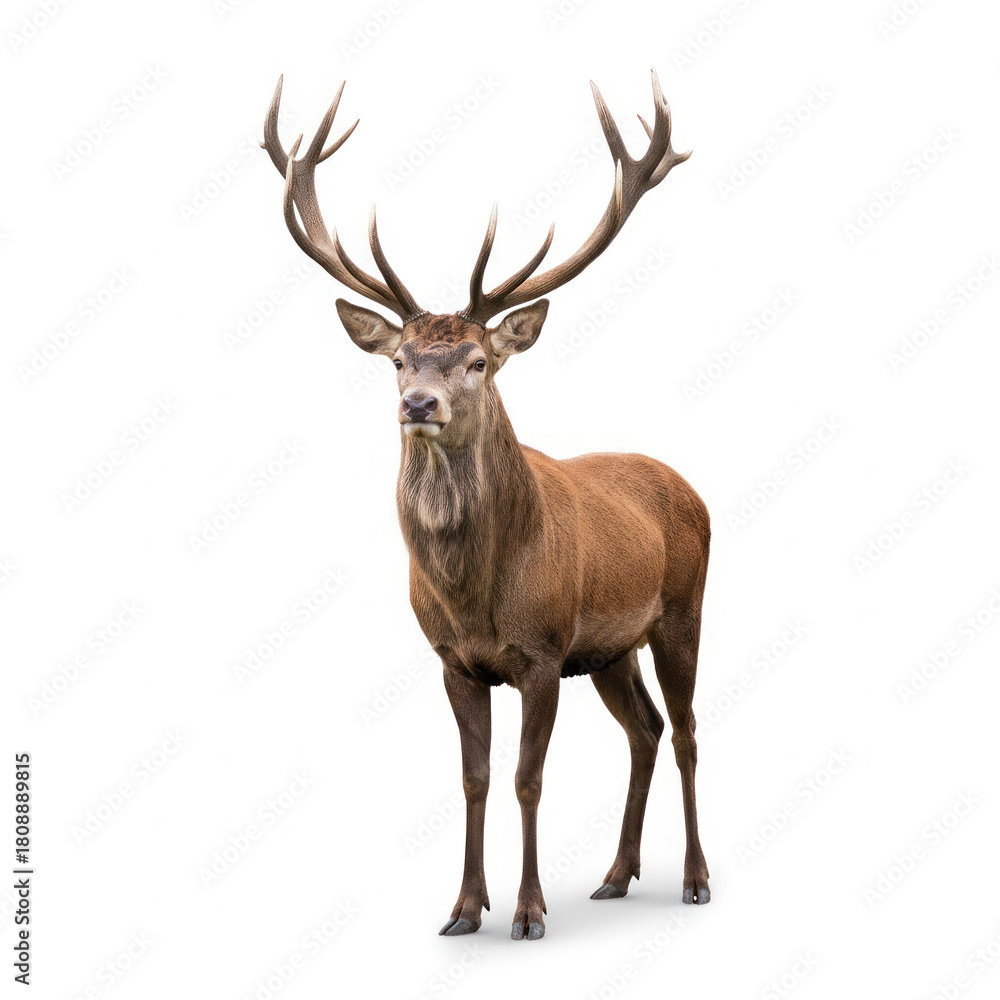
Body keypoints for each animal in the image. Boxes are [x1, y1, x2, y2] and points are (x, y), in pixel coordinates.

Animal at [261, 70, 711, 941]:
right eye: (399, 359)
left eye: (477, 361)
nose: (419, 404)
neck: (477, 596)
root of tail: (689, 484)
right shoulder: (454, 661)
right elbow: (472, 779)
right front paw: (465, 908)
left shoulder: (541, 651)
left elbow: (527, 779)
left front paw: (530, 912)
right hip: (611, 647)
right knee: (644, 730)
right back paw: (615, 875)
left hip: (682, 610)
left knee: (686, 734)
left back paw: (695, 879)